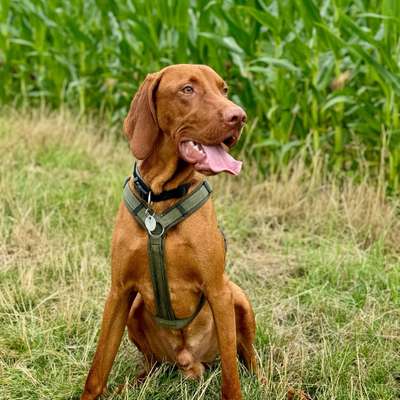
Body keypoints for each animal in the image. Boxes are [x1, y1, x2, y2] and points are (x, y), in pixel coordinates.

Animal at [79, 64, 258, 398]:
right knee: (151, 364)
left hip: (237, 296)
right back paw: (135, 383)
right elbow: (97, 370)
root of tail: (190, 363)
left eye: (224, 89)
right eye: (188, 89)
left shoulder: (218, 290)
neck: (161, 200)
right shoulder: (119, 291)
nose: (239, 116)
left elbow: (231, 376)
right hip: (137, 309)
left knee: (250, 359)